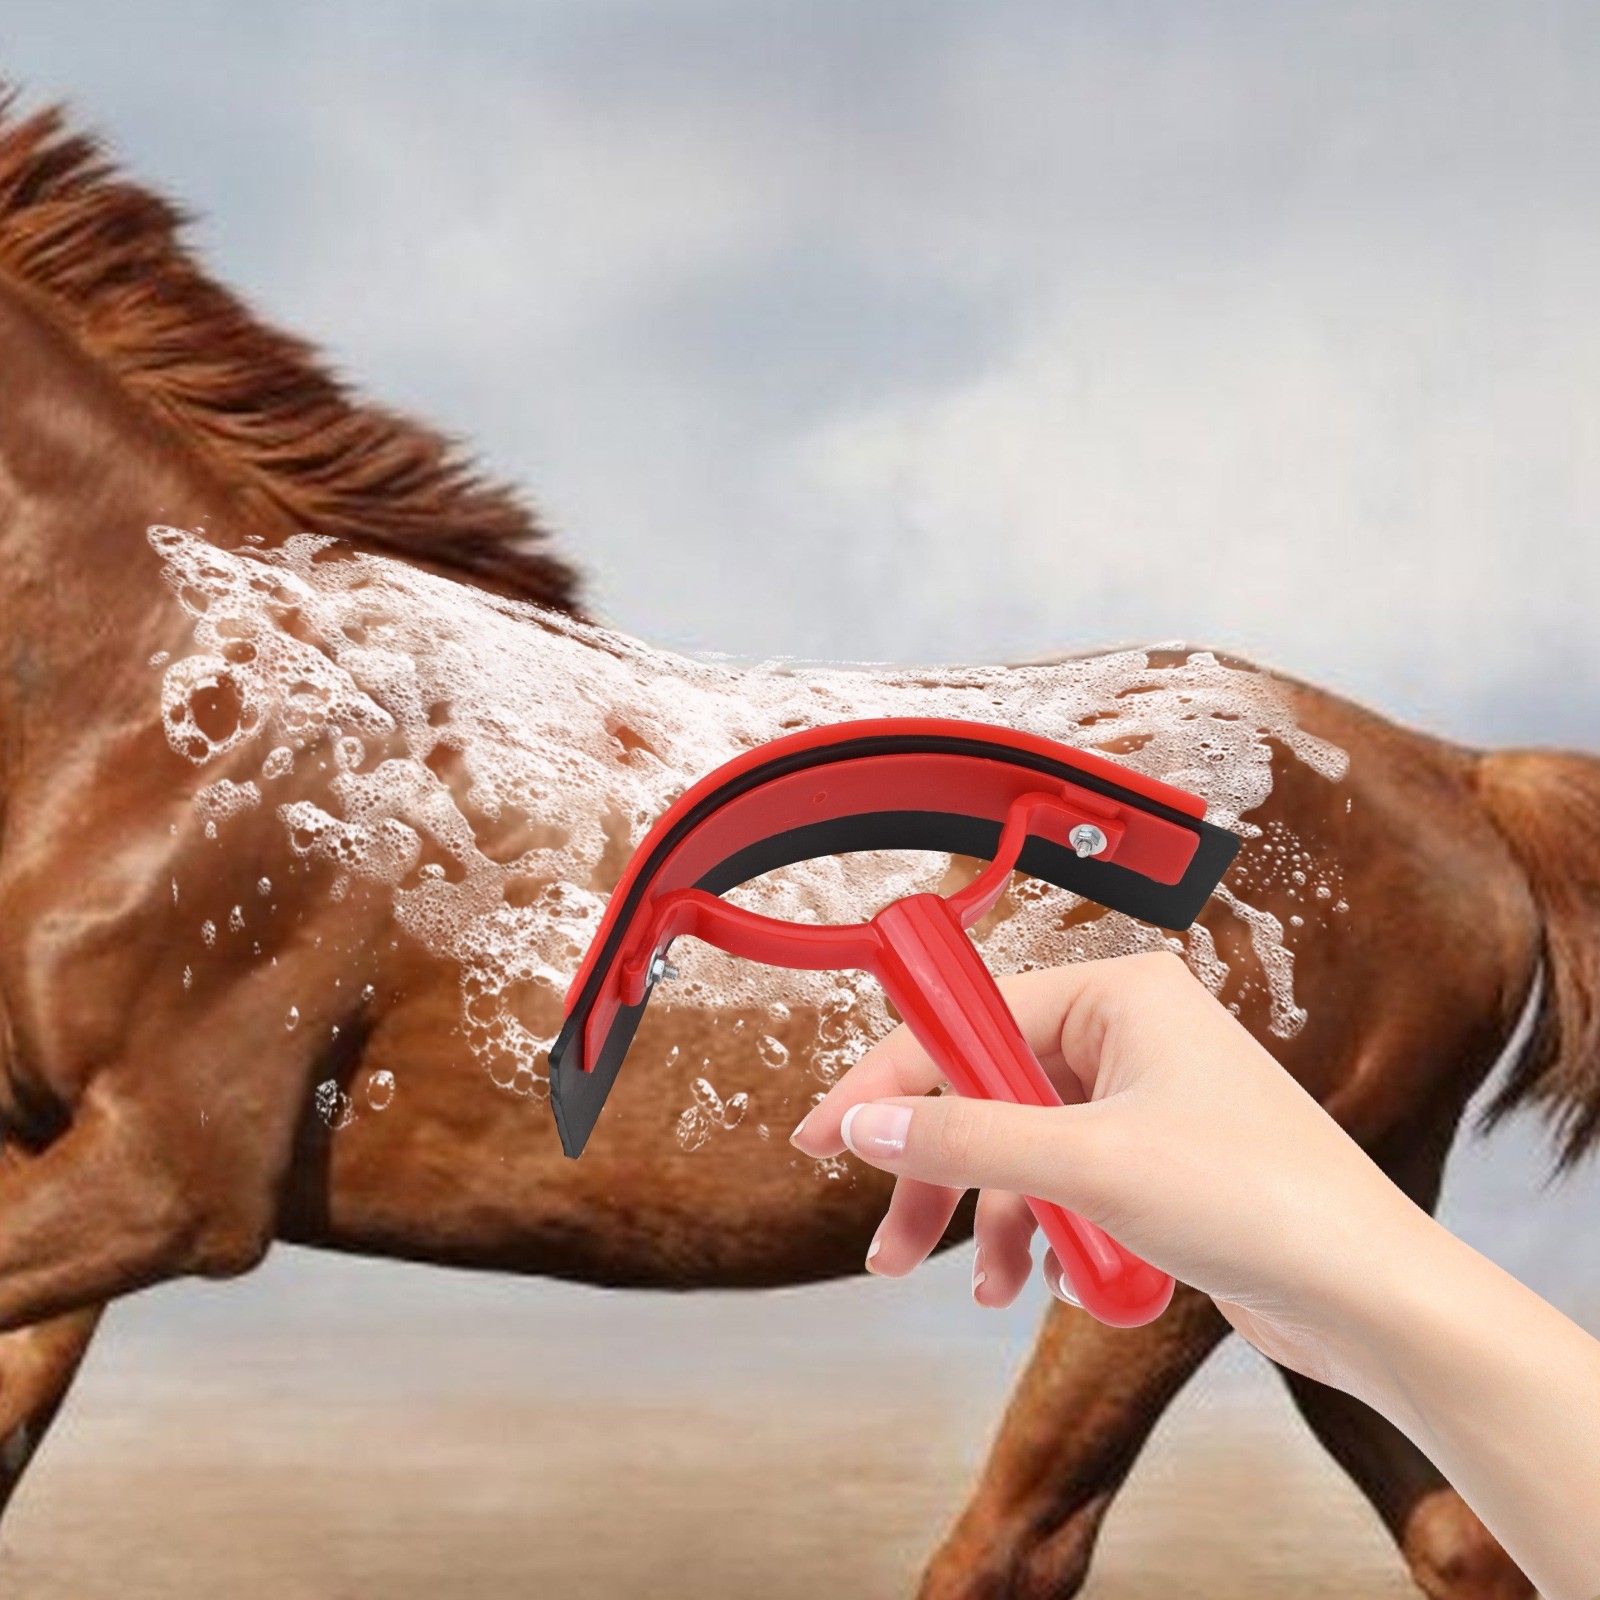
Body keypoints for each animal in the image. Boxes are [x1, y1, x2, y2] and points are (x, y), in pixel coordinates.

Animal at [1, 89, 1595, 1600]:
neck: (165, 702)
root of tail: (1453, 774)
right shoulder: (73, 1160)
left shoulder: (174, 1170)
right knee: (1460, 1541)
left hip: (1177, 1240)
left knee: (1016, 1545)